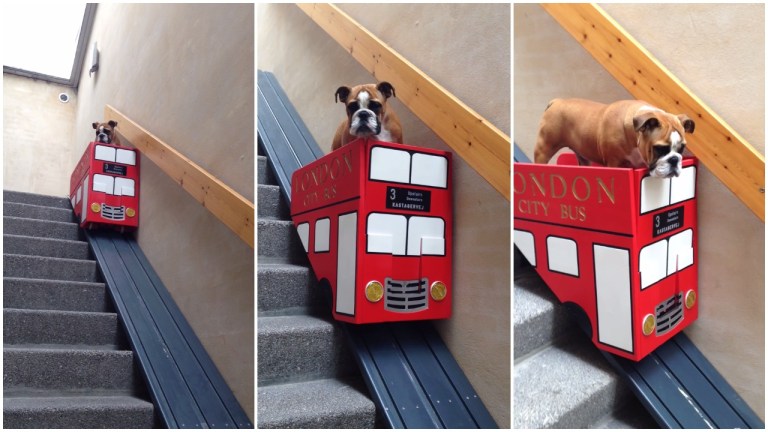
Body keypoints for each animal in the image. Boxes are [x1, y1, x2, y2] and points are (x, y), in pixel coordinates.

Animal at [536, 98, 696, 178]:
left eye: (681, 148)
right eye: (660, 149)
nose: (674, 159)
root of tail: (557, 100)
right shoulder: (615, 163)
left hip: (583, 157)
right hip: (543, 149)